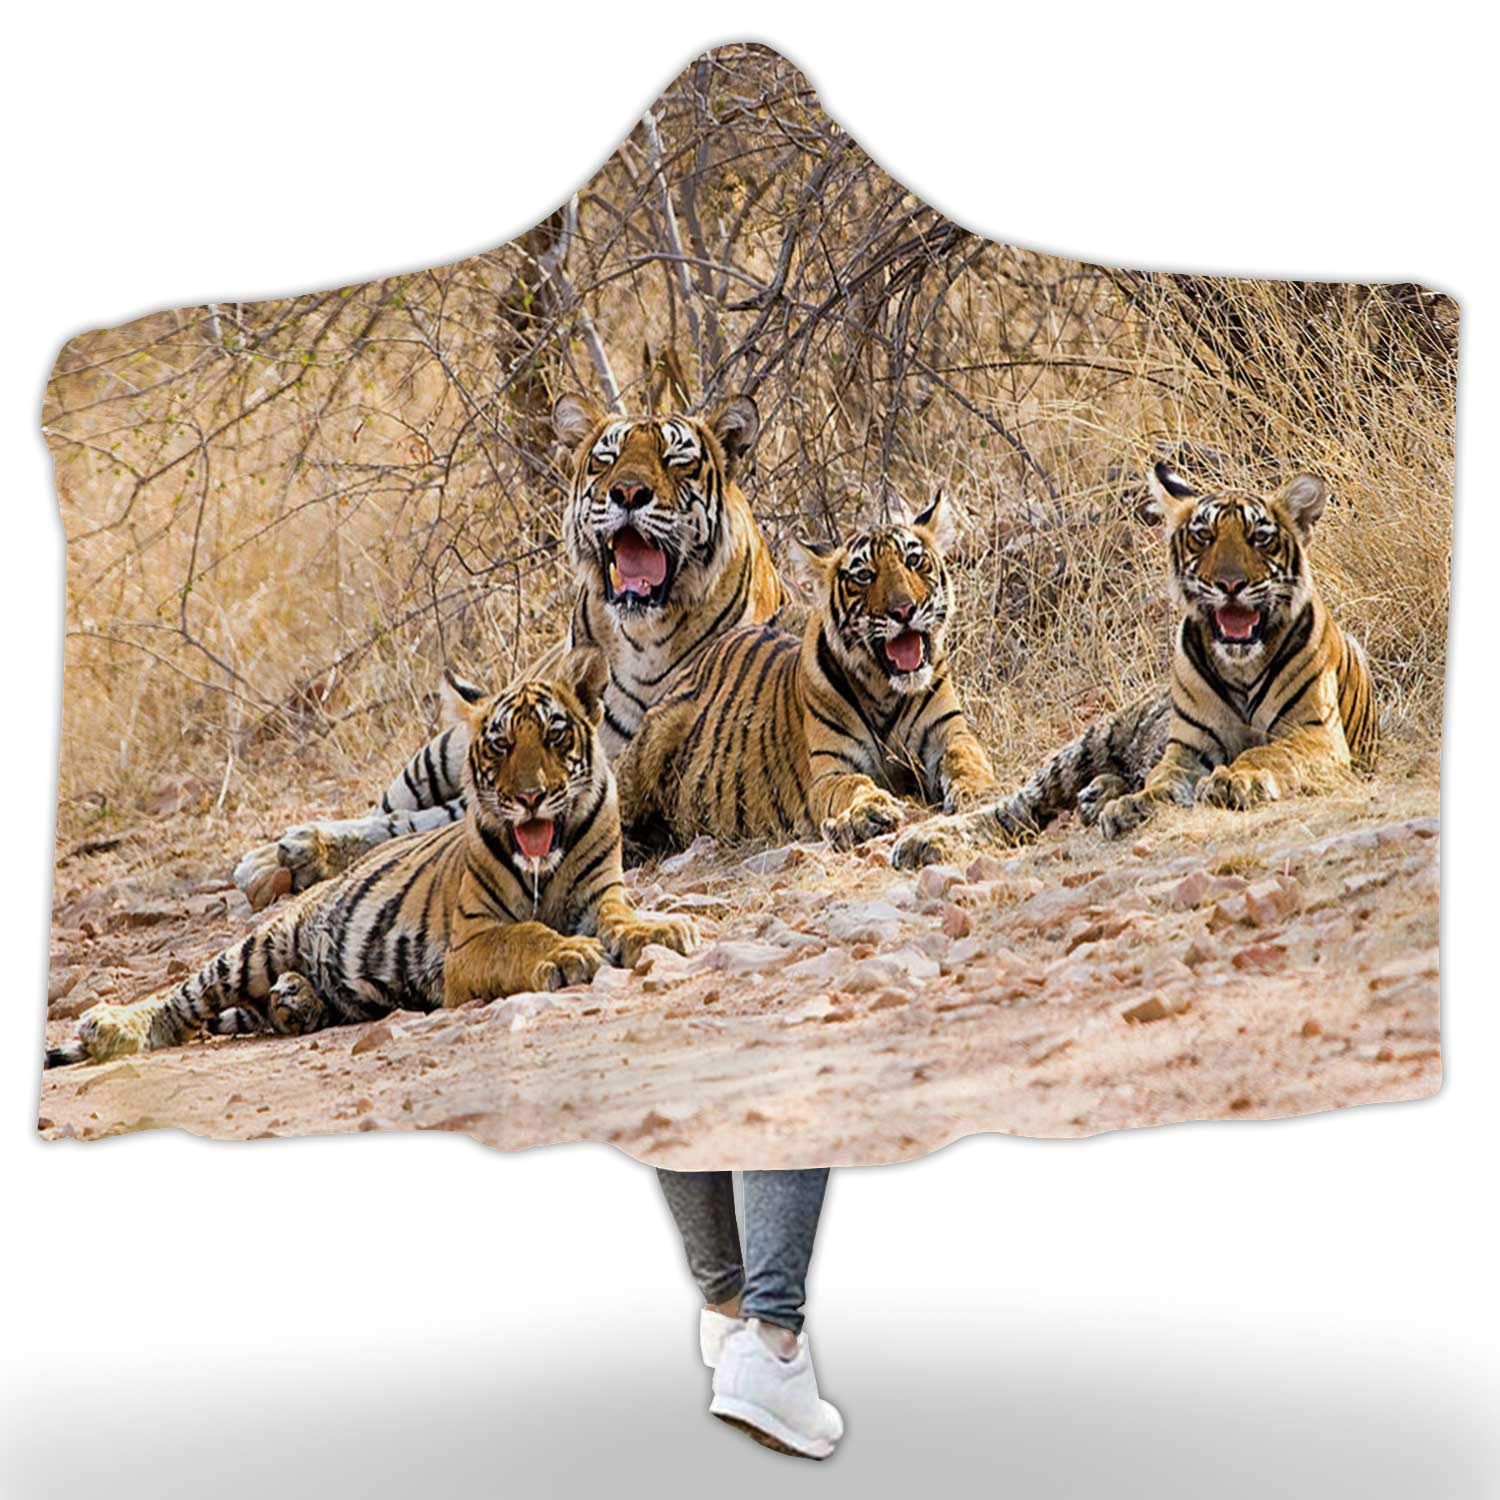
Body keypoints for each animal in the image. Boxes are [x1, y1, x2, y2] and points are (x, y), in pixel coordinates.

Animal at [46, 648, 697, 1067]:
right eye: (501, 744)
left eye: (556, 736)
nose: (531, 796)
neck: (549, 866)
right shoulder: (470, 942)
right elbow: (525, 935)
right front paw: (567, 953)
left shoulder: (603, 895)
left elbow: (625, 918)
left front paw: (664, 930)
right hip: (260, 945)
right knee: (181, 999)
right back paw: (112, 1028)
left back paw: (295, 1001)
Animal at [232, 392, 786, 909]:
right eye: (606, 460)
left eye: (676, 461)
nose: (628, 493)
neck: (647, 636)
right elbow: (410, 821)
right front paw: (303, 849)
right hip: (440, 751)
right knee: (386, 806)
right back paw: (268, 860)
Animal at [613, 494, 995, 851]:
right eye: (864, 575)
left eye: (913, 561)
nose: (904, 610)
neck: (884, 689)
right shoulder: (830, 769)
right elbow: (853, 785)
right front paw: (869, 812)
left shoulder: (948, 733)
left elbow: (966, 758)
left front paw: (977, 790)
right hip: (649, 743)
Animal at [891, 462, 1377, 867]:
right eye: (1204, 536)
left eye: (1260, 537)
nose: (1230, 584)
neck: (1239, 665)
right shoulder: (1186, 749)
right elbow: (1162, 781)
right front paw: (1133, 807)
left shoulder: (1313, 733)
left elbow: (1267, 752)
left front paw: (1231, 781)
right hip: (1084, 746)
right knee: (1013, 807)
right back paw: (923, 841)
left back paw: (1097, 795)